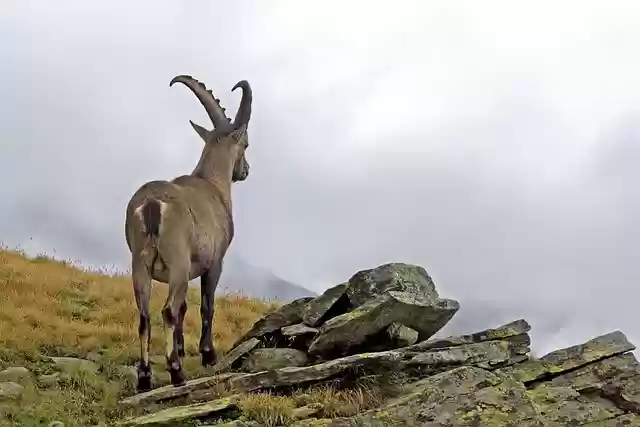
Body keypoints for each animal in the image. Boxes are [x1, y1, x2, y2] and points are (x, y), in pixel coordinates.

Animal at [124, 75, 253, 391]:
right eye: (245, 143)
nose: (245, 171)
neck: (212, 184)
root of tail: (152, 205)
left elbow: (183, 309)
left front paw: (181, 348)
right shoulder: (214, 263)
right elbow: (206, 306)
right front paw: (208, 355)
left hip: (140, 263)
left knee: (144, 315)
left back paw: (145, 377)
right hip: (177, 261)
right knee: (167, 310)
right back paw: (176, 373)